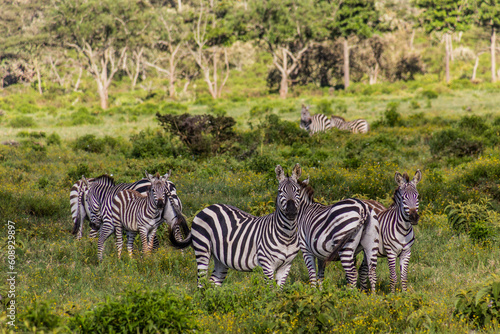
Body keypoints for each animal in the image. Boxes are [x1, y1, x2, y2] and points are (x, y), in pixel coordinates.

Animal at [170, 164, 302, 288]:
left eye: (298, 191)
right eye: (280, 191)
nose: (291, 211)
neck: (287, 235)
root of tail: (206, 208)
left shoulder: (286, 266)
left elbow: (279, 292)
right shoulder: (267, 264)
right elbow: (270, 292)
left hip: (220, 258)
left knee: (213, 283)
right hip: (202, 248)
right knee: (201, 283)